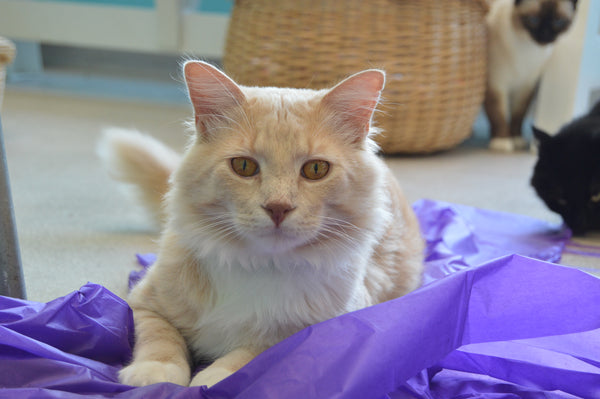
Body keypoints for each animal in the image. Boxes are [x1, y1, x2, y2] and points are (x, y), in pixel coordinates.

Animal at [98, 61, 424, 390]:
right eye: (244, 167)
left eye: (316, 169)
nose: (278, 208)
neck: (257, 264)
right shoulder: (145, 302)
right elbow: (161, 337)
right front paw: (156, 372)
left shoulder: (318, 329)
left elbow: (255, 351)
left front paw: (217, 377)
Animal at [486, 0, 580, 152]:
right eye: (533, 20)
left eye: (558, 21)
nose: (545, 35)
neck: (528, 50)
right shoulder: (496, 85)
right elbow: (498, 116)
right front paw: (502, 141)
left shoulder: (525, 88)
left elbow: (518, 116)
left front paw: (516, 138)